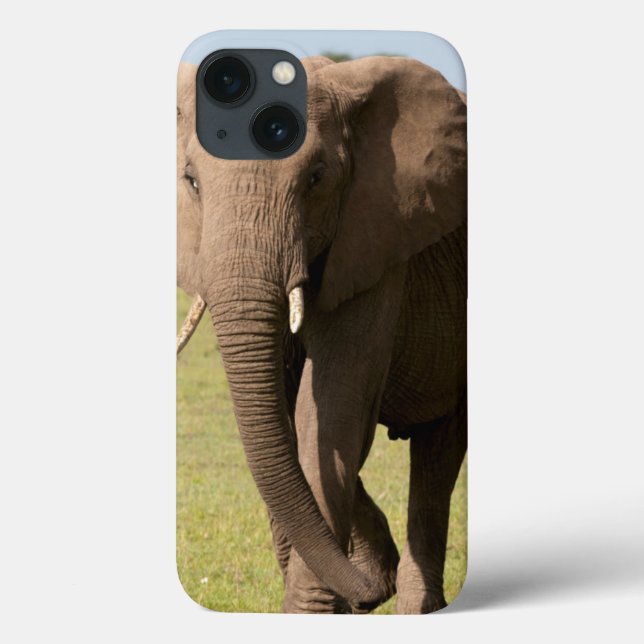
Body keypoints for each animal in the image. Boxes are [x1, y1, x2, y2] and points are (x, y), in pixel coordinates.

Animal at [177, 55, 467, 614]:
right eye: (191, 181)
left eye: (316, 178)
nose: (369, 594)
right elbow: (290, 419)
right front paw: (367, 577)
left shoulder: (377, 238)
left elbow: (331, 410)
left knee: (440, 454)